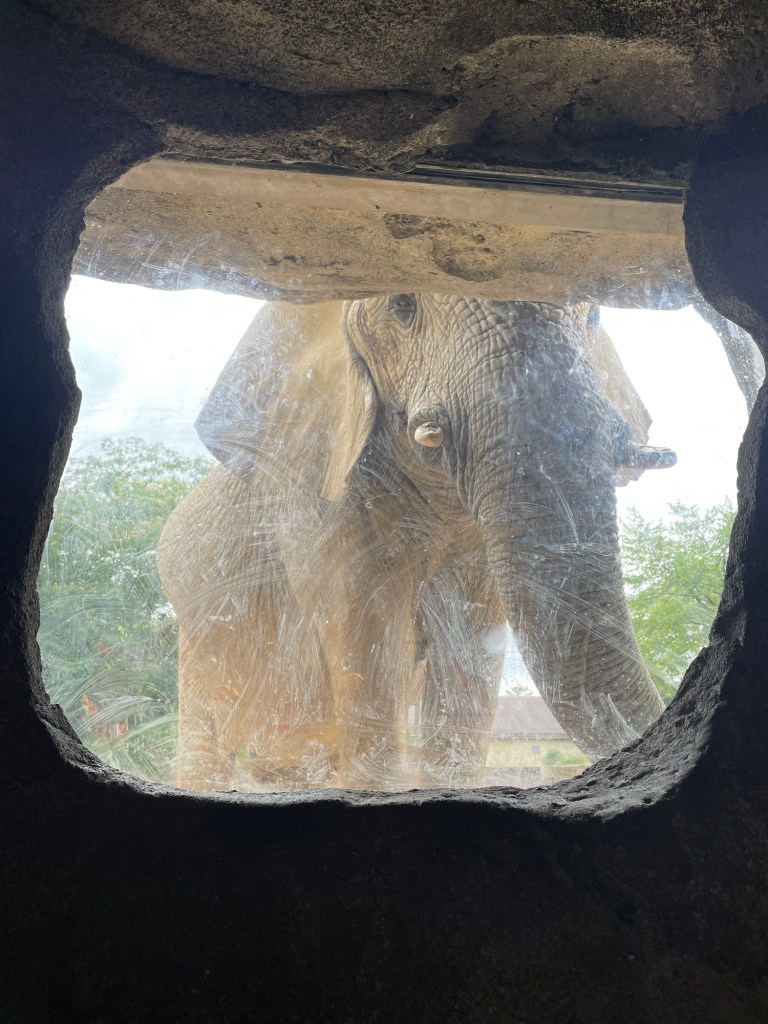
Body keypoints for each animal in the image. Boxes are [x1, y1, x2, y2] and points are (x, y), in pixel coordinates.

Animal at [157, 295, 676, 792]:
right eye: (402, 306)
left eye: (593, 317)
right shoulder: (315, 495)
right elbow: (370, 645)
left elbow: (467, 661)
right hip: (200, 632)